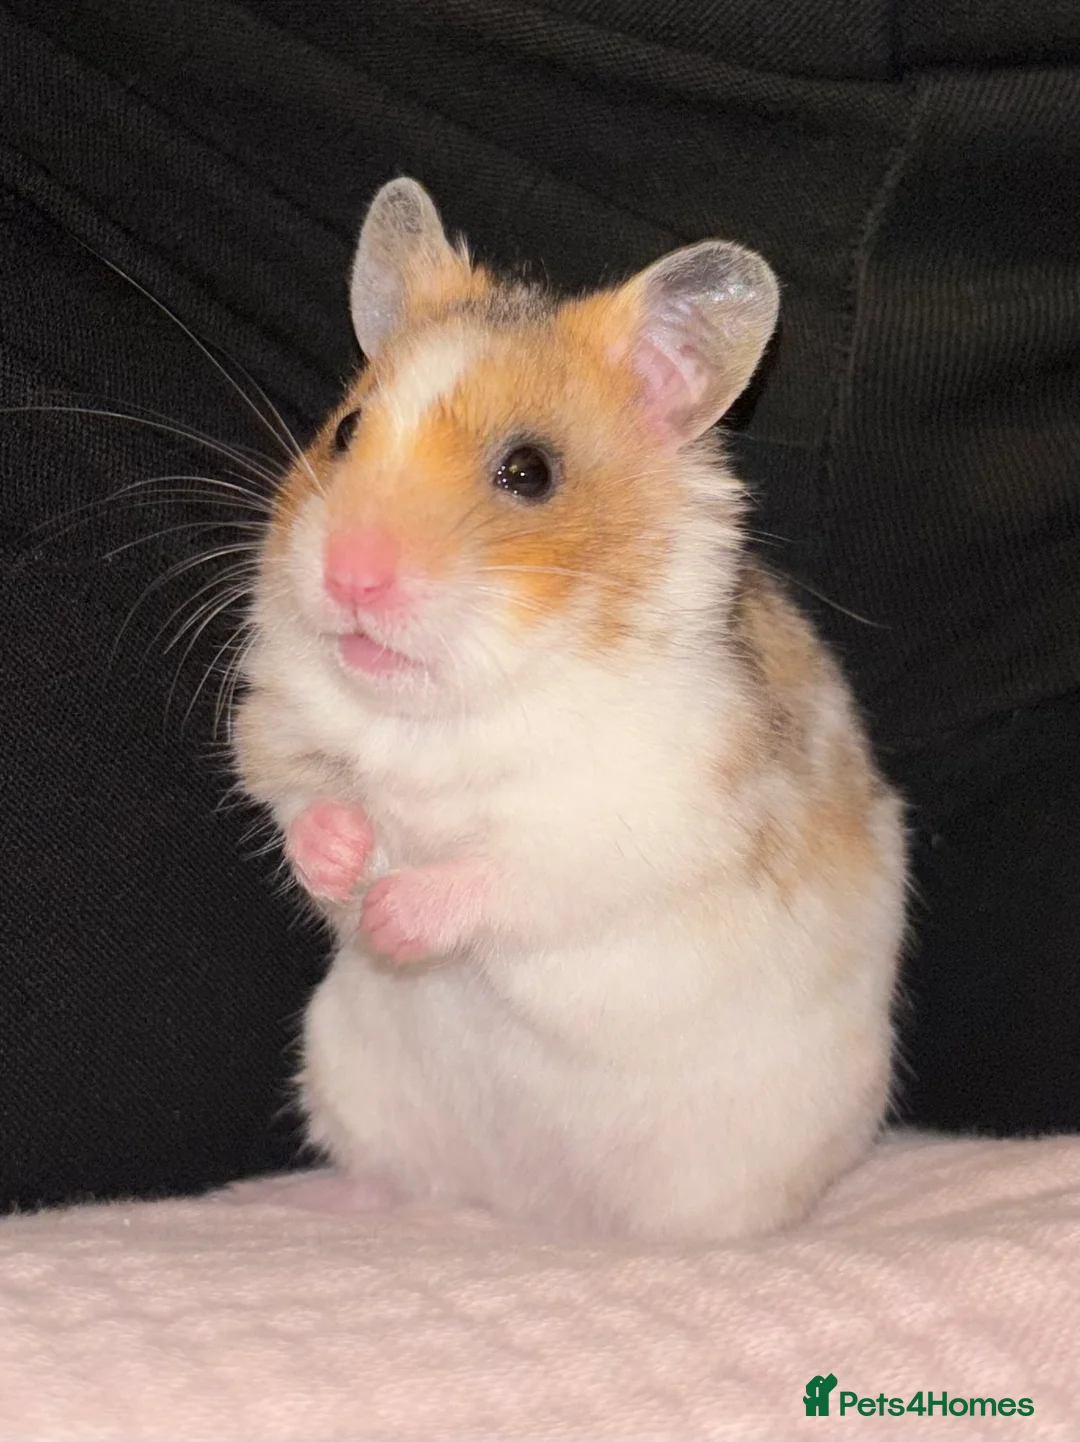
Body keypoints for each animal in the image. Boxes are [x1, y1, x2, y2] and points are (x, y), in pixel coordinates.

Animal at [232, 177, 907, 1243]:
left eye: (530, 472)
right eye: (343, 431)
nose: (349, 577)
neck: (450, 705)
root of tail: (534, 1208)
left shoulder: (624, 828)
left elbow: (502, 875)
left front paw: (391, 914)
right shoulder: (277, 738)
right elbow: (306, 808)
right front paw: (348, 862)